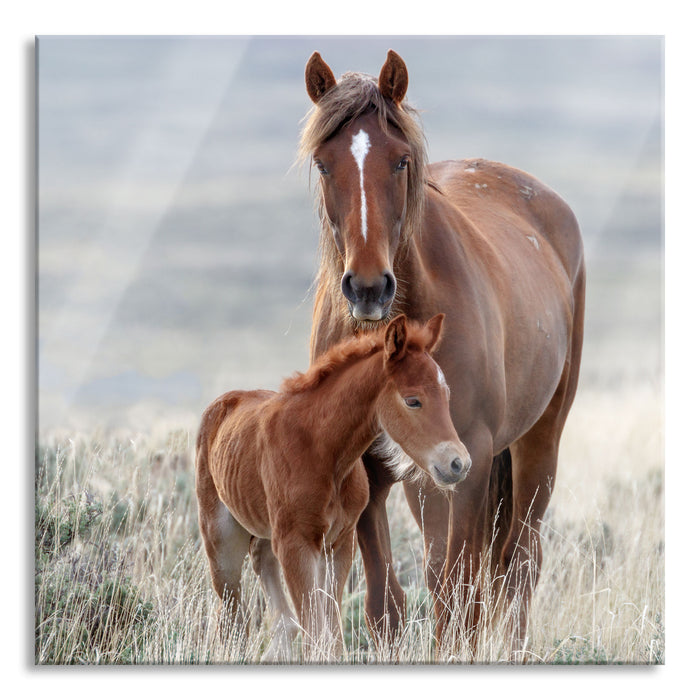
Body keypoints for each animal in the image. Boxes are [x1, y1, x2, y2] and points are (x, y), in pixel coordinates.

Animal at [197, 314, 468, 660]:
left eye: (446, 396)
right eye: (413, 401)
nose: (458, 464)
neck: (323, 452)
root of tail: (222, 402)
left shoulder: (339, 544)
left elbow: (332, 633)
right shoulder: (296, 545)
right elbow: (315, 632)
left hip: (266, 530)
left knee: (262, 566)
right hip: (220, 539)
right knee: (231, 610)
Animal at [300, 47, 584, 652]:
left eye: (401, 161)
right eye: (323, 163)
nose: (367, 288)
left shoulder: (469, 461)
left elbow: (460, 598)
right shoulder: (368, 466)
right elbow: (387, 606)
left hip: (536, 446)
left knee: (517, 565)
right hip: (428, 478)